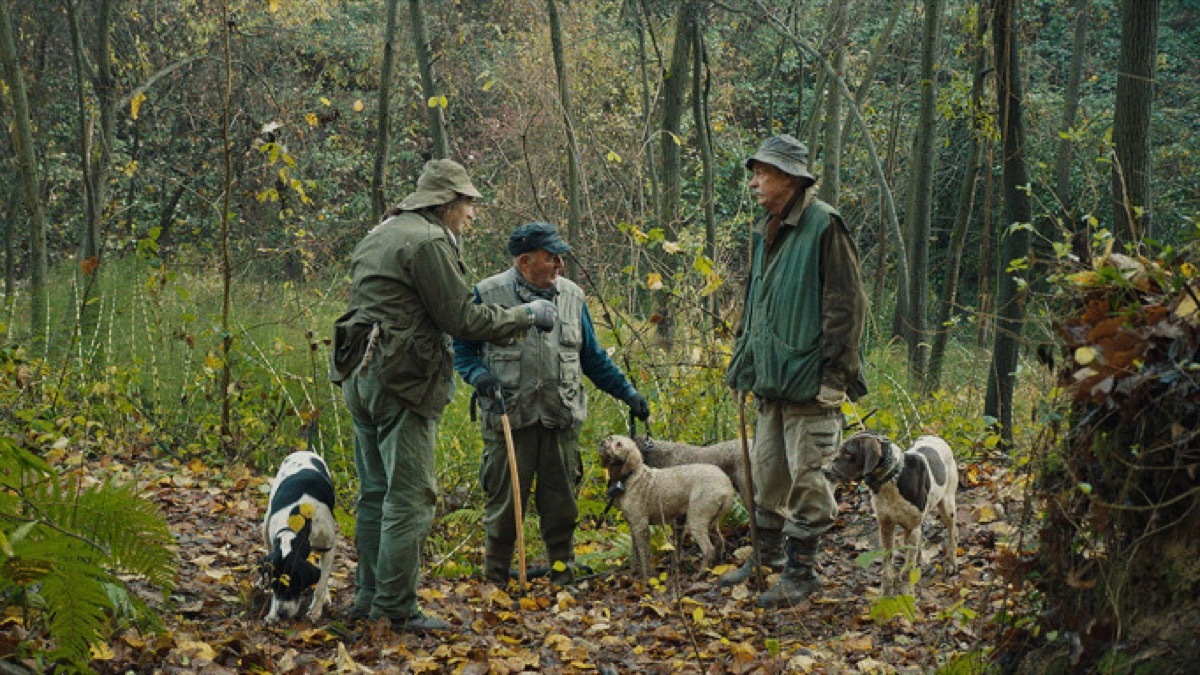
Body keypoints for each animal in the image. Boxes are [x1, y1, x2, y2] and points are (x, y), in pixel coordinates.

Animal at [260, 449, 338, 624]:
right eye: (274, 585)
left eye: (294, 585)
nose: (281, 613)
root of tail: (305, 451)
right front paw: (272, 613)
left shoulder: (329, 548)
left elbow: (321, 583)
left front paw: (315, 610)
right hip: (265, 523)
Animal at [597, 432, 734, 576]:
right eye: (610, 438)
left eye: (619, 444)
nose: (602, 443)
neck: (628, 477)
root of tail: (726, 485)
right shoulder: (632, 525)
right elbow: (635, 554)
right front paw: (633, 573)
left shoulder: (641, 525)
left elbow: (644, 556)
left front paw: (647, 577)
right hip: (713, 521)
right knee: (720, 542)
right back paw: (716, 568)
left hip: (696, 519)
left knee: (708, 549)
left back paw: (699, 575)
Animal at [830, 429, 960, 593]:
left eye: (847, 453)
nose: (824, 470)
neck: (891, 479)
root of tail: (936, 437)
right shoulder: (886, 527)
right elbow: (887, 567)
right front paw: (885, 592)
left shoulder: (912, 528)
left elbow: (907, 569)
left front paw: (907, 591)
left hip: (947, 505)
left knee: (952, 533)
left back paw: (951, 563)